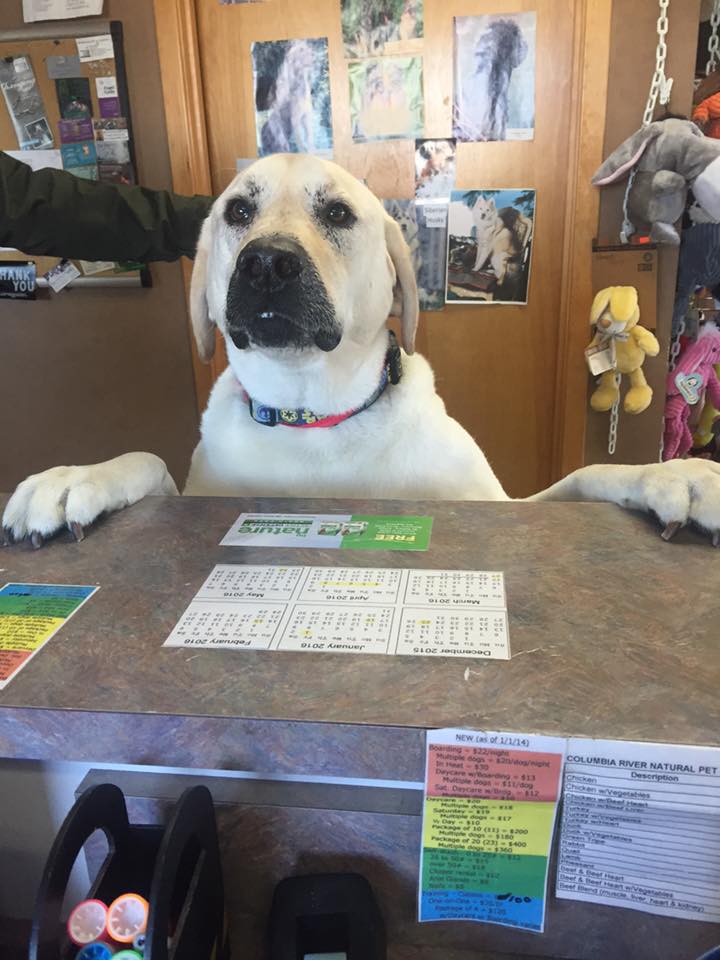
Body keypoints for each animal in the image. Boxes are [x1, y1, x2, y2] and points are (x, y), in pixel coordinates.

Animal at [3, 154, 720, 547]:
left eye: (339, 214)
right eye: (238, 212)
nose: (266, 264)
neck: (314, 415)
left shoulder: (501, 503)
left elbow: (587, 475)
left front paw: (677, 475)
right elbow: (150, 462)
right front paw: (76, 478)